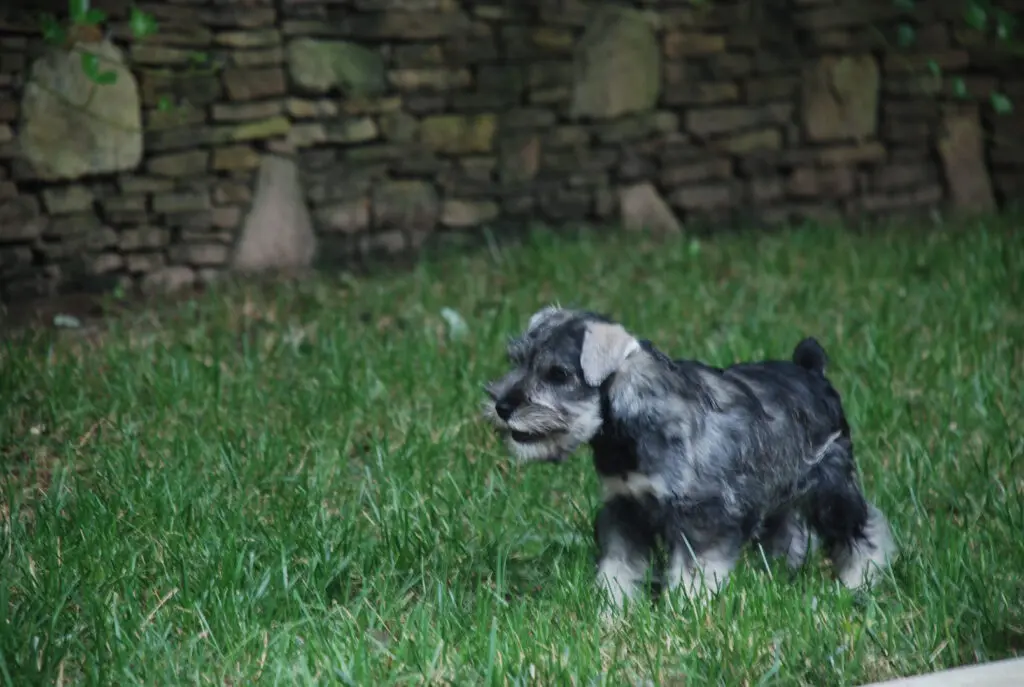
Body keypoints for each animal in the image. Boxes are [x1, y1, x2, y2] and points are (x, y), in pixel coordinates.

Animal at [485, 307, 897, 614]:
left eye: (558, 374)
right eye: (517, 360)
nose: (502, 406)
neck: (629, 426)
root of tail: (812, 371)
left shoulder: (702, 516)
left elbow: (692, 574)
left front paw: (684, 613)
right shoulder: (625, 508)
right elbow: (619, 566)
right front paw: (611, 610)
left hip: (831, 488)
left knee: (864, 529)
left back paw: (860, 580)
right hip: (775, 488)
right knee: (789, 532)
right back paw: (777, 576)